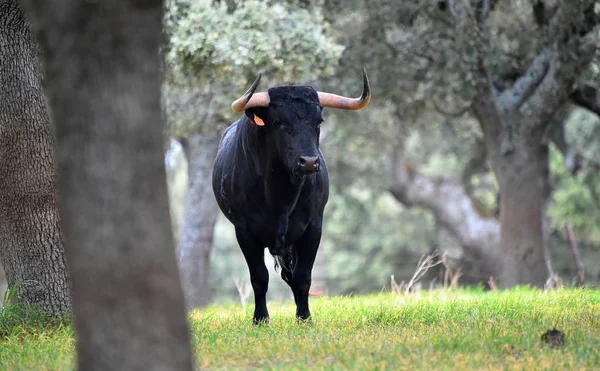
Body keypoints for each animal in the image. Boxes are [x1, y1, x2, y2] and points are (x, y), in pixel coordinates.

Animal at [211, 70, 370, 326]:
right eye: (279, 122)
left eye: (318, 122)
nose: (309, 162)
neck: (281, 196)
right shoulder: (244, 231)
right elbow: (259, 277)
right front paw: (261, 319)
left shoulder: (313, 227)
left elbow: (303, 276)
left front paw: (304, 318)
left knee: (292, 275)